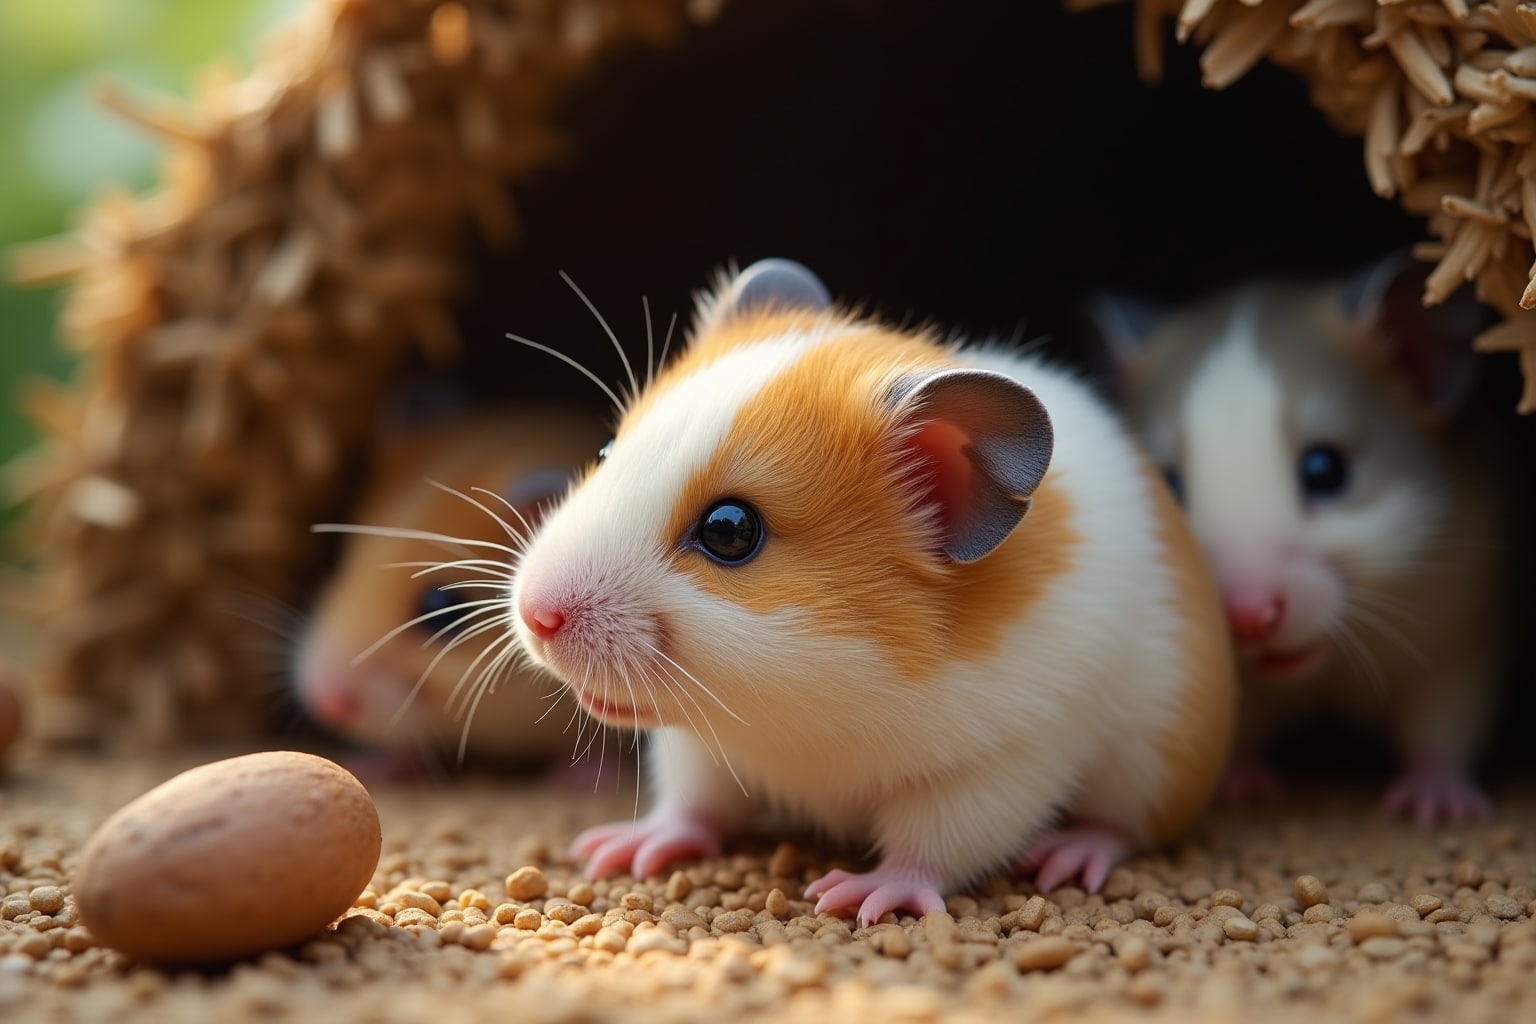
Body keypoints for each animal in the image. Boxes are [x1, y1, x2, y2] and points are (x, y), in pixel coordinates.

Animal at [509, 258, 1237, 926]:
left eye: (730, 531)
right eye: (607, 452)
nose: (535, 616)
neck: (801, 716)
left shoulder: (1000, 765)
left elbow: (932, 849)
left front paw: (854, 896)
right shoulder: (703, 747)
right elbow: (692, 805)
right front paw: (617, 849)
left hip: (1152, 762)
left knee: (1122, 828)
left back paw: (1067, 855)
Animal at [1094, 254, 1504, 826]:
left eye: (1325, 470)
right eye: (1170, 487)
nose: (1247, 616)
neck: (1323, 671)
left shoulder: (1459, 641)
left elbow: (1441, 723)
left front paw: (1436, 801)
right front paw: (1238, 784)